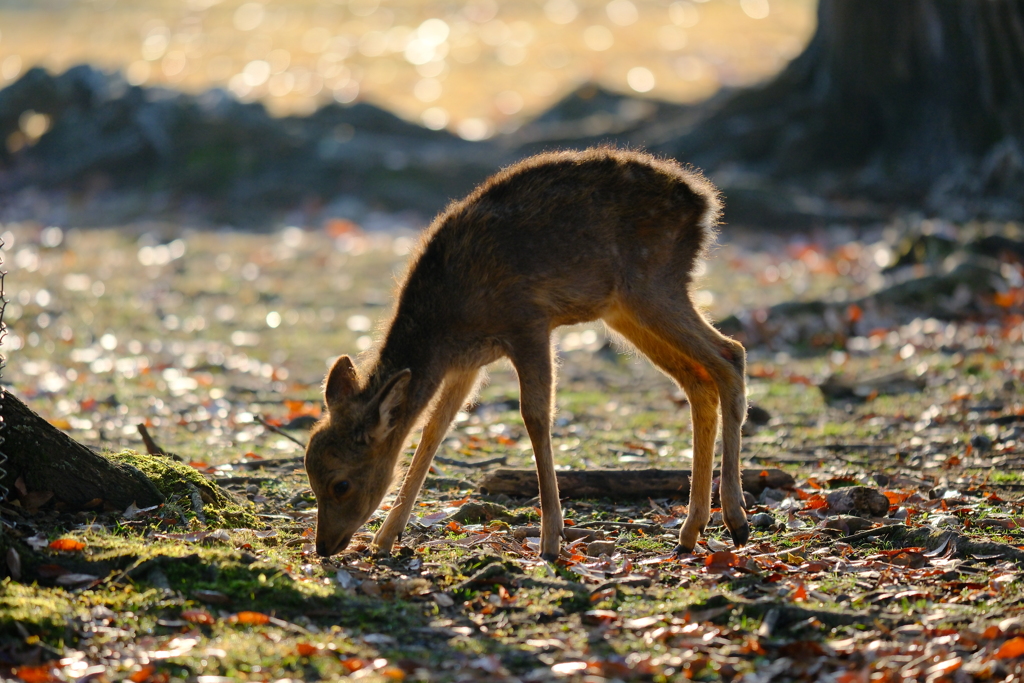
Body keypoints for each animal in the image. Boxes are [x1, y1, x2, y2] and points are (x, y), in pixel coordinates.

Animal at [299, 148, 749, 561]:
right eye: (310, 475)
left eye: (341, 484)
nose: (323, 547)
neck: (447, 321)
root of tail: (705, 201)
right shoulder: (466, 364)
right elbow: (435, 430)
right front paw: (384, 539)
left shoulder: (528, 322)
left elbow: (534, 416)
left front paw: (551, 541)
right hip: (624, 308)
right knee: (699, 379)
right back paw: (691, 530)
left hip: (651, 283)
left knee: (730, 354)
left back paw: (736, 520)